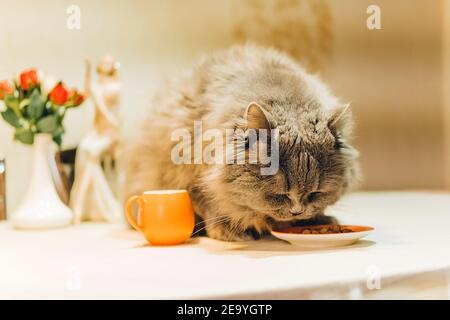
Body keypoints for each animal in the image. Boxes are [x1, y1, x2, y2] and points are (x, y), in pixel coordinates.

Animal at [124, 44, 362, 240]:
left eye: (315, 193)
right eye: (281, 194)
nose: (297, 211)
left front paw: (319, 220)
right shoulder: (190, 174)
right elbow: (214, 206)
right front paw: (231, 231)